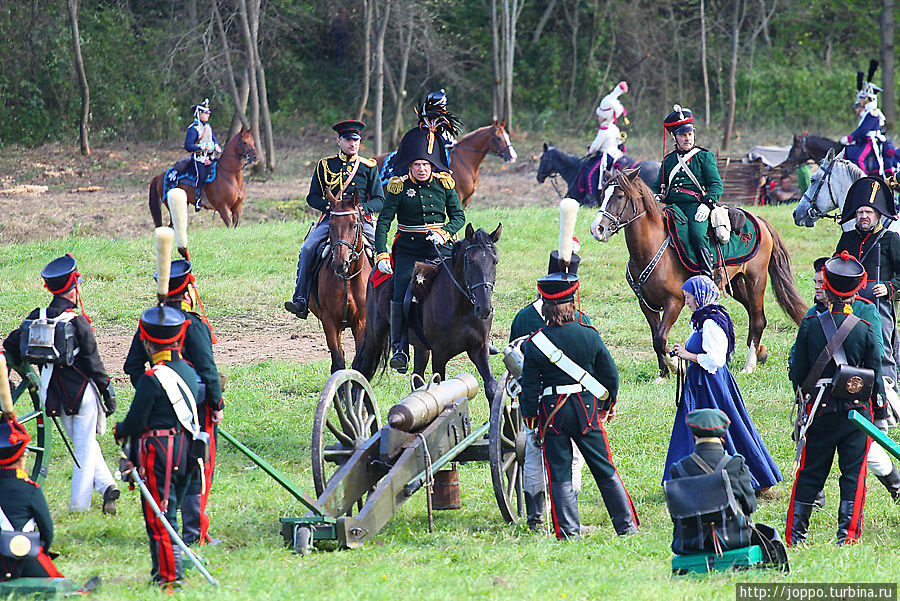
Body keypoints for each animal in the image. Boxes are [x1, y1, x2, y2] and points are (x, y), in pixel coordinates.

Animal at [310, 190, 372, 372]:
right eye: (330, 225)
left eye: (354, 225)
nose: (340, 264)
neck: (347, 279)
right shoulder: (329, 321)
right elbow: (338, 362)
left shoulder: (362, 323)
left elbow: (358, 363)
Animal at [352, 223, 502, 400]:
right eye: (470, 261)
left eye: (495, 261)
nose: (484, 308)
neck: (462, 308)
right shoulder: (439, 353)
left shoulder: (479, 347)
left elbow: (491, 387)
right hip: (375, 336)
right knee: (363, 368)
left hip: (420, 346)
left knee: (417, 378)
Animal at [376, 119, 516, 209]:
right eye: (499, 138)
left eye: (507, 136)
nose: (513, 156)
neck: (465, 161)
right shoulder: (458, 196)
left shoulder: (466, 200)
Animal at [592, 166, 808, 378]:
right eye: (603, 194)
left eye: (619, 196)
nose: (597, 229)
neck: (649, 249)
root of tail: (759, 220)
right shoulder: (646, 305)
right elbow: (655, 339)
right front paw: (663, 375)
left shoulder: (674, 302)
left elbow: (661, 338)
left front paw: (677, 366)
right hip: (736, 283)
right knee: (755, 315)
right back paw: (760, 352)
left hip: (756, 279)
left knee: (757, 320)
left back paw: (749, 365)